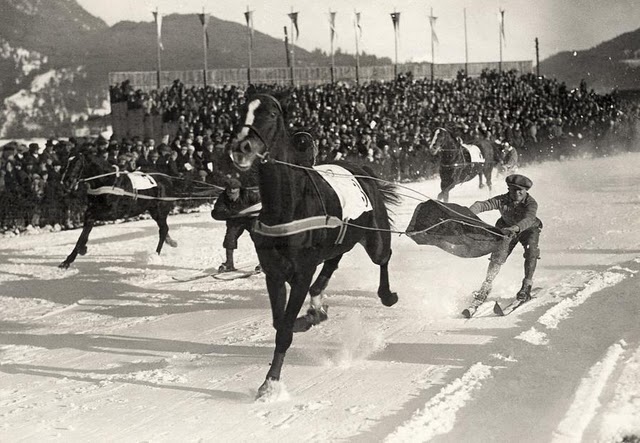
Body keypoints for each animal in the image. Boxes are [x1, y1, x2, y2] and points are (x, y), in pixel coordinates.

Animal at [230, 93, 400, 398]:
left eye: (271, 113)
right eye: (241, 111)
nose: (241, 147)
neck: (288, 204)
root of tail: (362, 167)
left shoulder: (301, 272)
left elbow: (285, 328)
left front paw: (271, 383)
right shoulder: (274, 273)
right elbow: (280, 321)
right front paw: (311, 316)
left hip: (375, 237)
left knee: (383, 256)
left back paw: (387, 295)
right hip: (341, 239)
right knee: (333, 262)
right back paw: (318, 302)